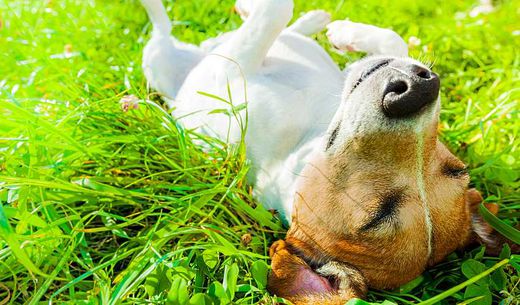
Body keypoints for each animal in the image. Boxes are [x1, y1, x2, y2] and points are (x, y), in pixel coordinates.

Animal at [140, 0, 506, 302]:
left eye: (375, 216)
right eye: (457, 168)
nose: (416, 90)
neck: (310, 133)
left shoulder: (228, 74)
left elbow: (276, 11)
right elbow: (393, 40)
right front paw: (348, 34)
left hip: (158, 62)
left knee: (161, 29)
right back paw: (313, 21)